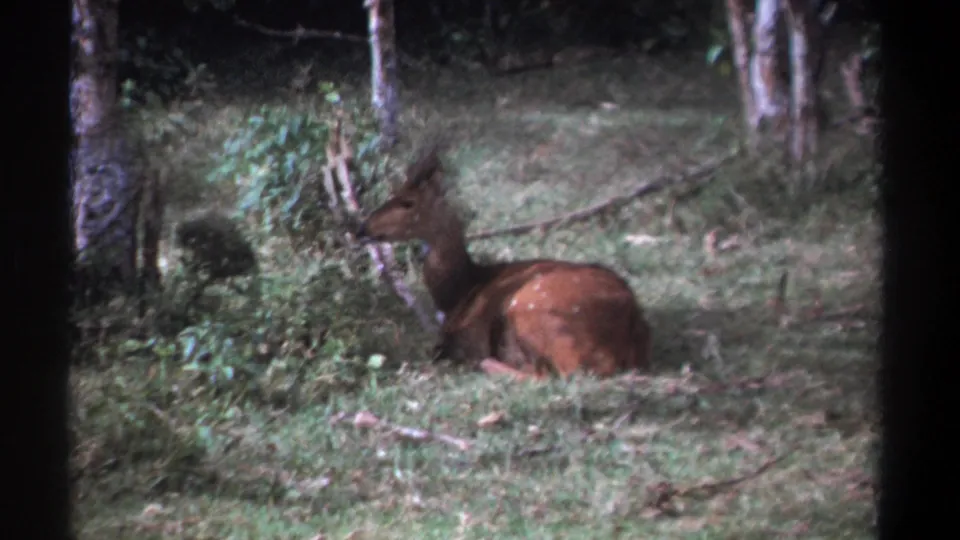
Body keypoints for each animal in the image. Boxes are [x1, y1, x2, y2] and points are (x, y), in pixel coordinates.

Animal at [356, 149, 653, 381]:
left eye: (408, 202)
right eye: (393, 194)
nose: (362, 227)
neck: (460, 290)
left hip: (532, 307)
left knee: (558, 372)